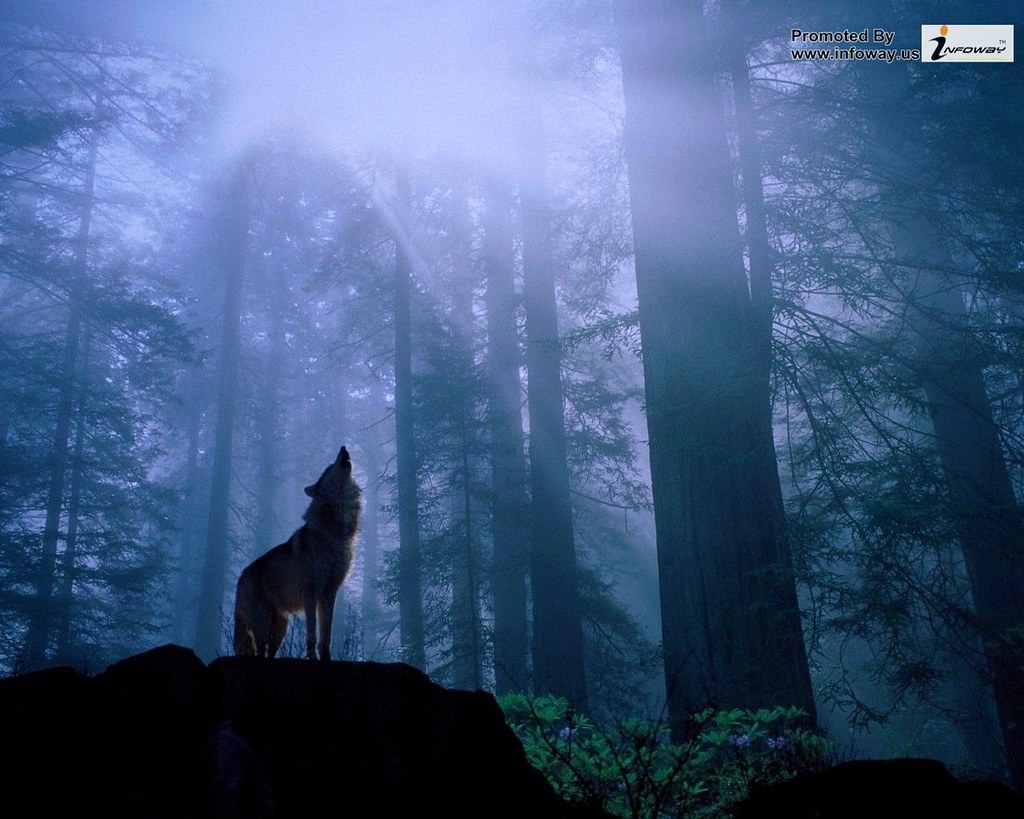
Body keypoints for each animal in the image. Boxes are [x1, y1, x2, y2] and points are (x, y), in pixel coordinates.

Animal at [233, 445, 362, 660]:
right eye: (329, 468)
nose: (343, 447)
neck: (335, 532)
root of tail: (241, 576)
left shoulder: (330, 593)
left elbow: (325, 636)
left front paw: (326, 659)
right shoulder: (311, 594)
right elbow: (311, 633)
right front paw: (313, 659)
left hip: (280, 629)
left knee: (269, 652)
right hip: (263, 625)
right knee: (259, 650)